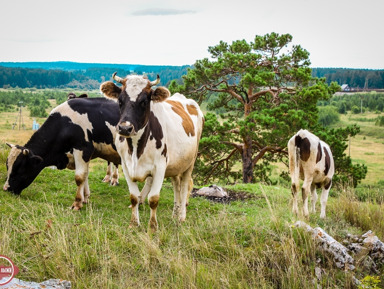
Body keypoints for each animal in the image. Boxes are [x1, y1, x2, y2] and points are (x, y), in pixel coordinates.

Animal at [101, 73, 204, 231]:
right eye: (120, 100)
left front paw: (153, 227)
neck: (136, 149)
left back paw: (181, 216)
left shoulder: (160, 167)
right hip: (175, 164)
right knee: (176, 185)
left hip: (190, 162)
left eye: (144, 101)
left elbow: (154, 199)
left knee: (185, 186)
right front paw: (134, 223)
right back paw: (175, 214)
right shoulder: (126, 166)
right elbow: (134, 197)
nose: (125, 128)